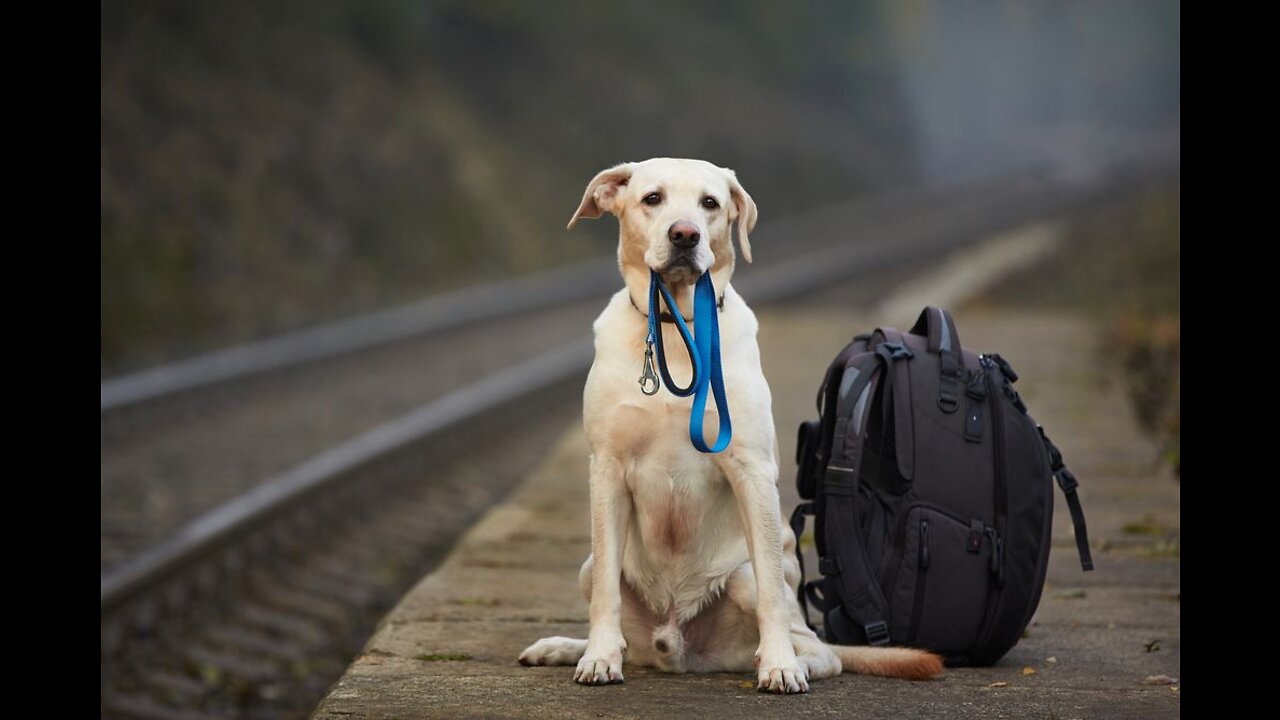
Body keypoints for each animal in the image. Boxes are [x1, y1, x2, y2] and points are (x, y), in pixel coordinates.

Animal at [517, 156, 942, 691]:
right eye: (652, 198)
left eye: (710, 203)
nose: (685, 234)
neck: (677, 329)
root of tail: (679, 649)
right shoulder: (607, 468)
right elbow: (606, 595)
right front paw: (597, 658)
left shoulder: (751, 470)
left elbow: (773, 596)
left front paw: (780, 666)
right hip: (589, 567)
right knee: (623, 621)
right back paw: (566, 647)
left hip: (743, 579)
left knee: (820, 646)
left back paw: (789, 660)